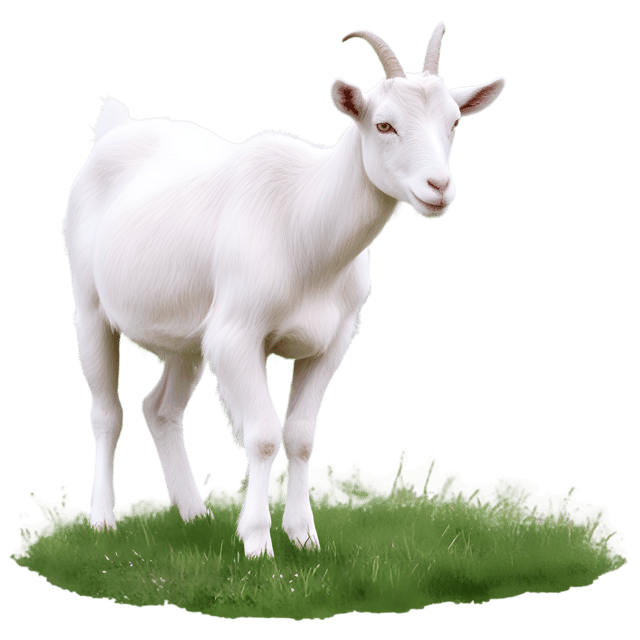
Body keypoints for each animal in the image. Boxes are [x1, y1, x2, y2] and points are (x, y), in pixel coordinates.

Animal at [62, 22, 506, 558]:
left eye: (454, 124)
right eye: (383, 125)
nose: (437, 187)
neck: (301, 221)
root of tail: (113, 130)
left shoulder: (331, 343)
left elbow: (300, 436)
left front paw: (304, 536)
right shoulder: (236, 336)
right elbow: (263, 436)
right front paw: (257, 541)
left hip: (187, 337)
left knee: (161, 409)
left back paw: (195, 515)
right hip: (89, 308)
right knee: (107, 413)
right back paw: (103, 522)